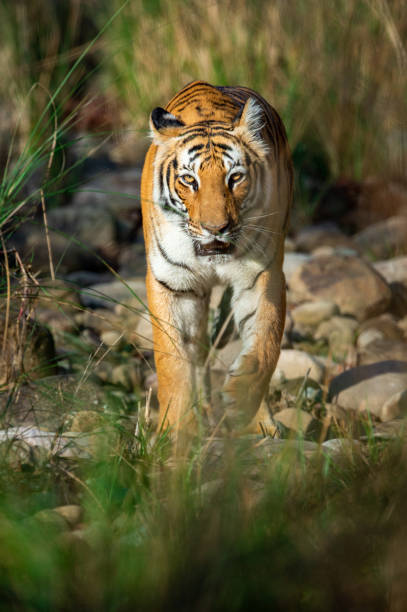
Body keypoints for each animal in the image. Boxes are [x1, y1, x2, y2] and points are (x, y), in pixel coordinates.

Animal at [140, 81, 294, 436]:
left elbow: (266, 341)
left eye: (234, 178)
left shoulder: (262, 276)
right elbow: (172, 361)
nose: (216, 228)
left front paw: (241, 398)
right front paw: (175, 428)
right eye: (189, 180)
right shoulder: (172, 285)